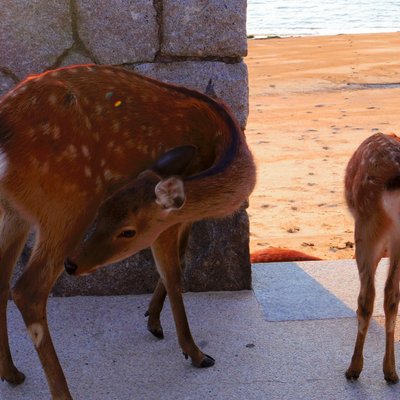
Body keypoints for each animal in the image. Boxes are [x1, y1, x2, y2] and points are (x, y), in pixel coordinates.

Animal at [0, 64, 256, 398]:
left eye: (125, 230)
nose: (73, 265)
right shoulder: (165, 225)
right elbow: (173, 273)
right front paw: (196, 353)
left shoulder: (183, 217)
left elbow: (180, 259)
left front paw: (153, 319)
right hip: (66, 205)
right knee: (28, 289)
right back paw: (62, 392)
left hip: (15, 212)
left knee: (1, 280)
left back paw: (11, 373)